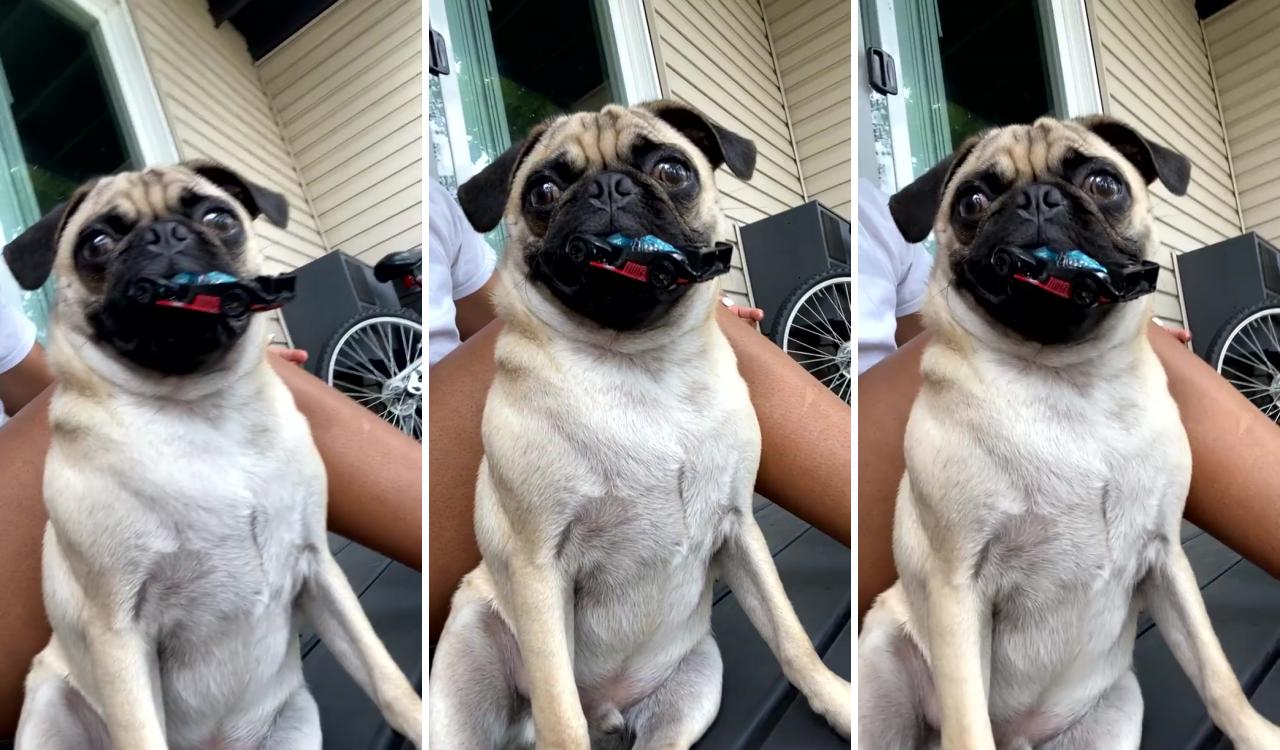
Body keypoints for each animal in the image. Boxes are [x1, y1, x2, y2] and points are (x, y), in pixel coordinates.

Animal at [7, 160, 422, 742]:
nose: (164, 234)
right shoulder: (118, 633)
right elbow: (140, 733)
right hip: (49, 702)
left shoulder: (317, 569)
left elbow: (384, 677)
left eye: (218, 217)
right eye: (96, 242)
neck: (200, 412)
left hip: (296, 723)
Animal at [427, 100, 849, 747]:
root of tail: (607, 710)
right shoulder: (538, 568)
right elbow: (560, 715)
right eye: (544, 191)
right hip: (467, 662)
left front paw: (842, 701)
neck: (637, 365)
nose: (607, 188)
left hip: (695, 682)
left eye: (673, 171)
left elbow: (791, 636)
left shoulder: (738, 528)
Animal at [855, 113, 1280, 742]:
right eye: (972, 201)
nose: (1036, 198)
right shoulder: (957, 587)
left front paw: (1257, 735)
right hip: (883, 672)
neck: (1065, 381)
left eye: (1104, 184)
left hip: (1115, 712)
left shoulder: (1165, 558)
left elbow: (1217, 675)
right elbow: (968, 725)